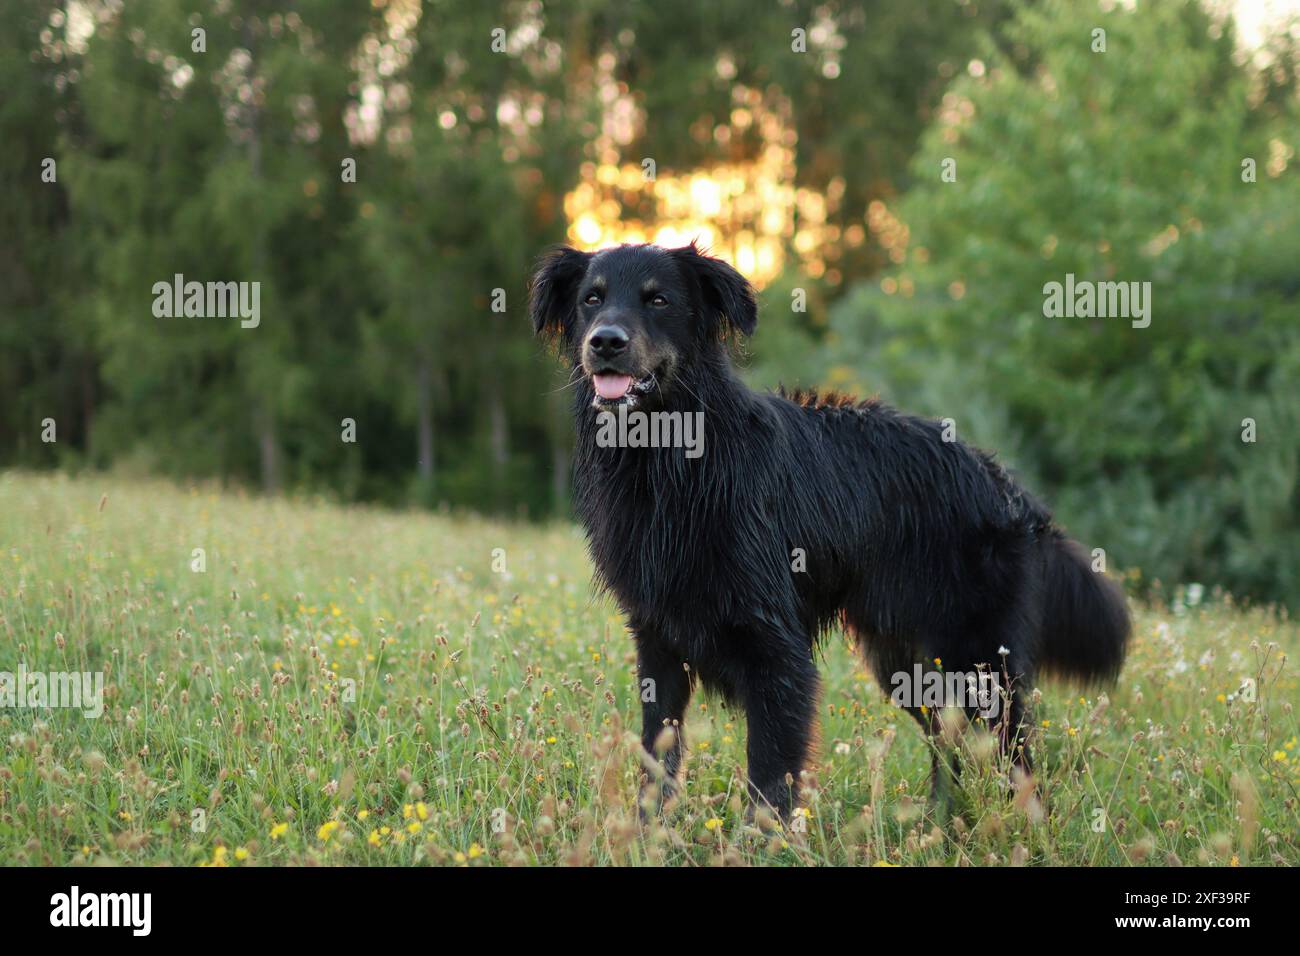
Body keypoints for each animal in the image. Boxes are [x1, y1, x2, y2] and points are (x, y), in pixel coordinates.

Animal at [527, 243, 1128, 816]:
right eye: (592, 299)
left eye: (657, 300)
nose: (605, 342)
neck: (670, 459)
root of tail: (1008, 485)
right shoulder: (658, 643)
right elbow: (658, 762)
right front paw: (647, 835)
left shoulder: (777, 652)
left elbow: (770, 782)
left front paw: (760, 844)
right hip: (908, 662)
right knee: (949, 742)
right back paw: (937, 826)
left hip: (979, 659)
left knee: (1015, 751)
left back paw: (1024, 827)